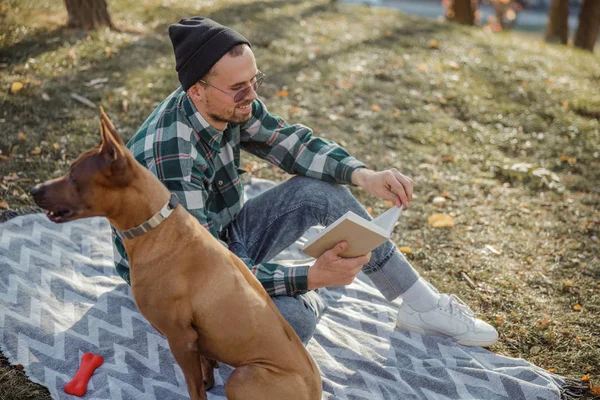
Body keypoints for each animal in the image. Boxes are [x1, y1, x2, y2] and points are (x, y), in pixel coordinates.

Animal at [31, 109, 324, 400]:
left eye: (73, 178)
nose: (34, 190)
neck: (157, 227)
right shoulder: (192, 340)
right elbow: (204, 365)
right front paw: (209, 375)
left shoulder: (180, 338)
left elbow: (195, 388)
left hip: (242, 377)